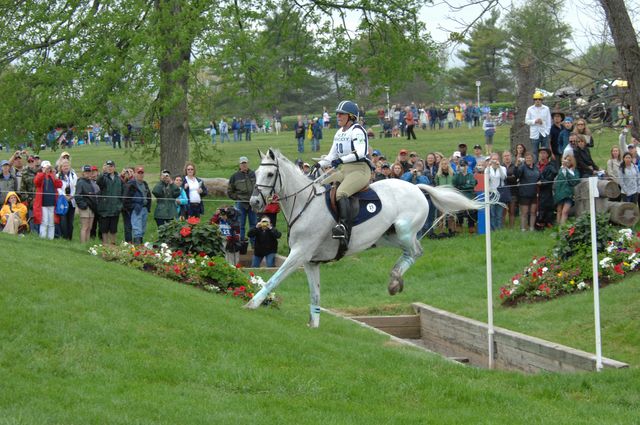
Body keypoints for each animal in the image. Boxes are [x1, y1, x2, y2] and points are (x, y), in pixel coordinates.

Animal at [246, 147, 484, 326]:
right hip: (386, 236)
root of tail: (417, 186)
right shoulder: (311, 262)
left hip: (404, 229)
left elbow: (275, 278)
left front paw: (253, 303)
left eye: (269, 174)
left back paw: (395, 280)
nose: (254, 202)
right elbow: (315, 295)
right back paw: (395, 279)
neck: (305, 203)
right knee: (410, 252)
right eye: (255, 173)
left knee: (416, 251)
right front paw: (313, 325)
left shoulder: (299, 254)